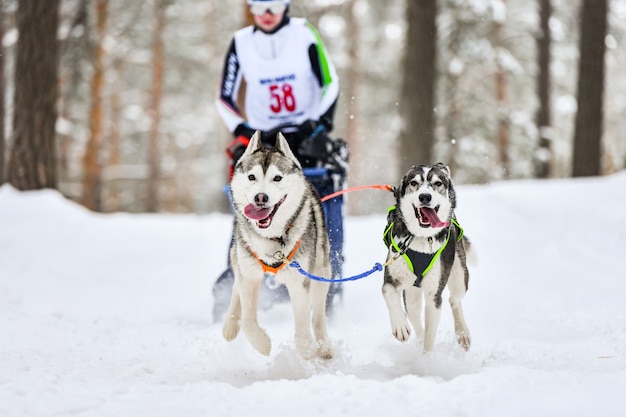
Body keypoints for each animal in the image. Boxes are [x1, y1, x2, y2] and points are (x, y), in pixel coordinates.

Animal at [223, 132, 332, 358]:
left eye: (277, 178)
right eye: (252, 177)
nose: (260, 197)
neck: (272, 238)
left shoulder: (299, 282)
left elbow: (303, 328)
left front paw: (306, 352)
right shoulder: (249, 276)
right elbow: (248, 321)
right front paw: (262, 344)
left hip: (321, 272)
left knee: (317, 315)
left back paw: (324, 346)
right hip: (238, 257)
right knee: (236, 285)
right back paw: (230, 325)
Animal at [380, 164, 468, 352]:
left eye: (438, 183)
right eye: (414, 183)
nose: (425, 196)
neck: (421, 237)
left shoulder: (434, 296)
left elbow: (429, 341)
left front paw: (426, 359)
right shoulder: (391, 278)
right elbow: (388, 293)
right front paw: (400, 326)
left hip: (460, 277)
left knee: (454, 299)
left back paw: (463, 334)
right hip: (411, 294)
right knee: (416, 319)